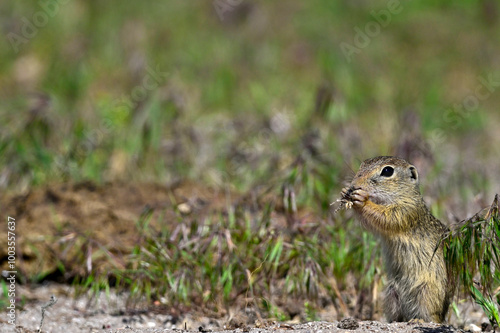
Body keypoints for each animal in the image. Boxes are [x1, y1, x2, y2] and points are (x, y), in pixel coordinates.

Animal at [338, 156, 452, 322]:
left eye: (387, 171)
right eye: (362, 164)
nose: (355, 185)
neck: (403, 195)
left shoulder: (405, 211)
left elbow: (385, 217)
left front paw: (362, 200)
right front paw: (344, 190)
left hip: (425, 292)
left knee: (431, 317)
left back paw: (418, 320)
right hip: (392, 294)